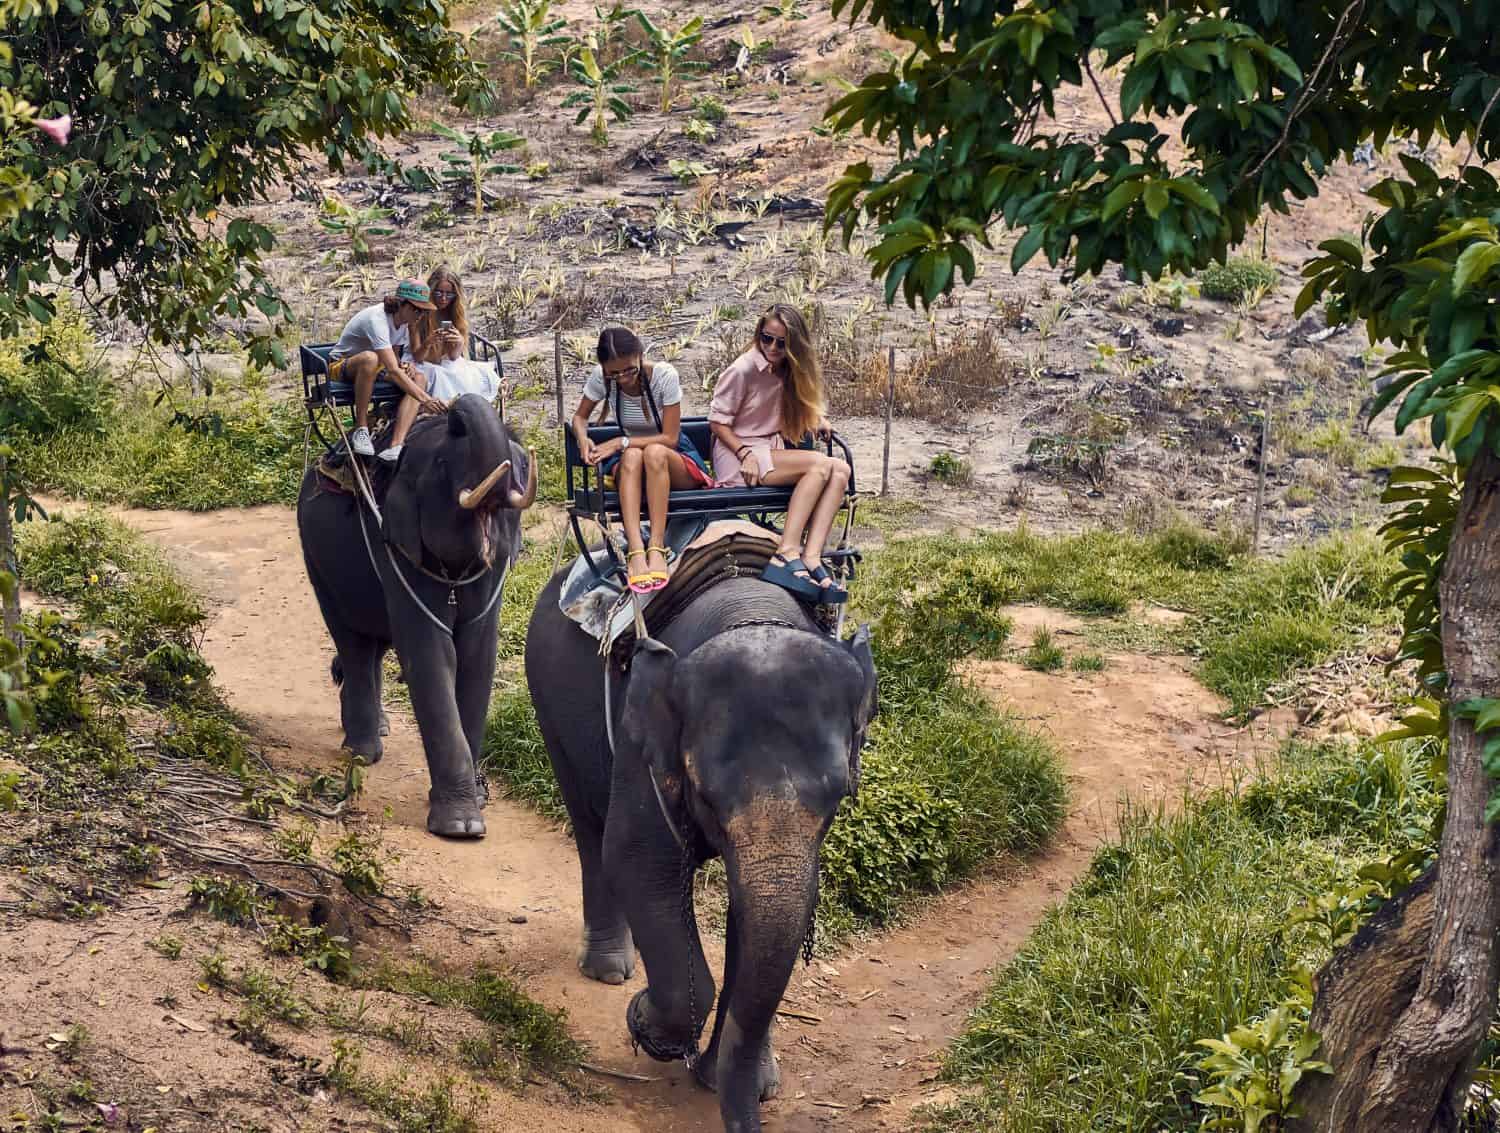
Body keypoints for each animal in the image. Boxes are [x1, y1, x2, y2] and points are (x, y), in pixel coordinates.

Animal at [297, 393, 536, 838]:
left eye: (520, 464)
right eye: (442, 464)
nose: (455, 409)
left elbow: (478, 654)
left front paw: (477, 801)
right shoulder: (393, 543)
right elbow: (430, 652)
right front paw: (461, 826)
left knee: (374, 644)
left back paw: (377, 729)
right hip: (316, 558)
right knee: (354, 642)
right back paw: (362, 752)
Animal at [525, 572, 877, 1133]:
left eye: (838, 797)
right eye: (707, 795)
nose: (749, 1112)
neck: (750, 612)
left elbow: (759, 916)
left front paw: (743, 1082)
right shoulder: (643, 745)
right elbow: (637, 864)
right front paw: (643, 1019)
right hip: (546, 692)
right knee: (589, 824)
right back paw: (610, 971)